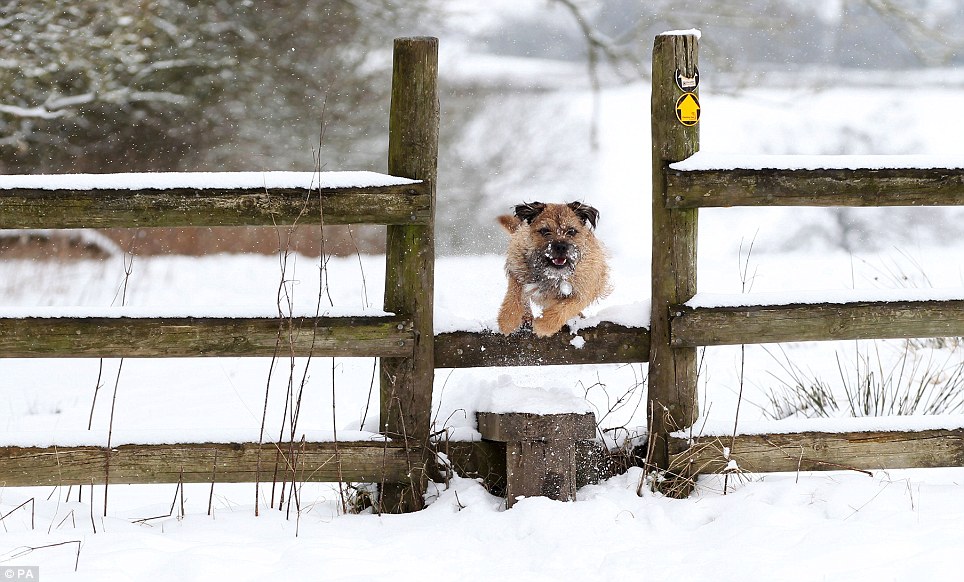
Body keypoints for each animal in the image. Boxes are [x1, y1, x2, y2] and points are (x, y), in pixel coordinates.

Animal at [498, 202, 612, 338]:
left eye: (571, 231)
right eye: (544, 230)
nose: (561, 246)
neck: (552, 274)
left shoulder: (584, 291)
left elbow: (565, 307)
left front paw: (544, 325)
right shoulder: (517, 267)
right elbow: (515, 293)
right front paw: (508, 320)